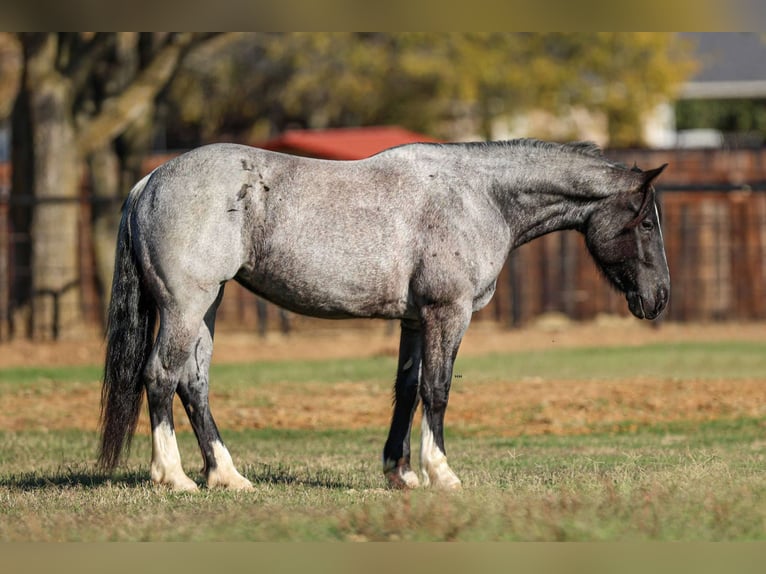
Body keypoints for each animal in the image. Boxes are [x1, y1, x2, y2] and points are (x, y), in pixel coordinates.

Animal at [98, 138, 669, 491]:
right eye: (645, 224)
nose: (660, 298)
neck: (477, 195)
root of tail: (150, 180)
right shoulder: (447, 314)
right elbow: (437, 390)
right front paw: (441, 473)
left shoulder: (415, 320)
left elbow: (408, 389)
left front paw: (402, 473)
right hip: (185, 305)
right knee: (161, 376)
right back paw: (174, 477)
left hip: (207, 306)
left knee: (193, 384)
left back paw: (227, 476)